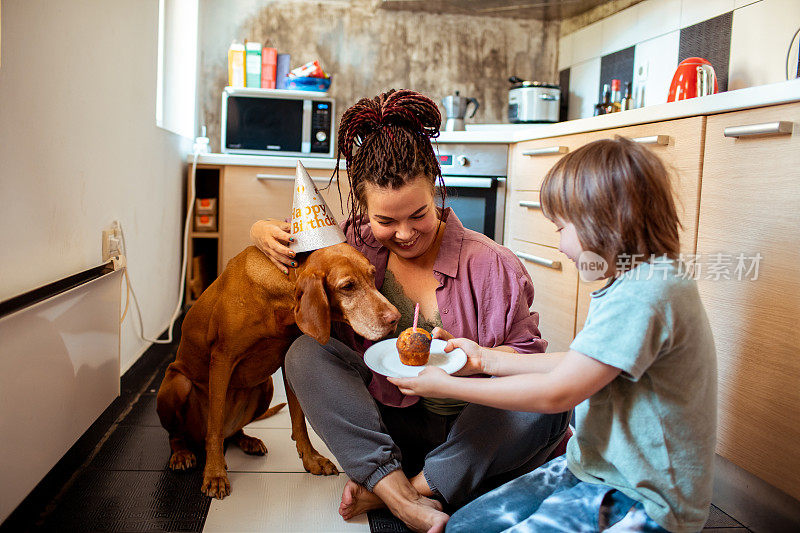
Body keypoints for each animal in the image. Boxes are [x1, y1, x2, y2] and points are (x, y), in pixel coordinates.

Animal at [158, 243, 400, 496]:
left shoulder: (286, 356)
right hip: (178, 383)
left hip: (265, 387)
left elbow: (298, 419)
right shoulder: (222, 359)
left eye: (372, 275)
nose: (396, 317)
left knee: (232, 432)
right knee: (180, 434)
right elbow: (214, 426)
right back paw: (181, 453)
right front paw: (214, 473)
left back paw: (248, 440)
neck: (280, 295)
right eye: (347, 286)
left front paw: (311, 458)